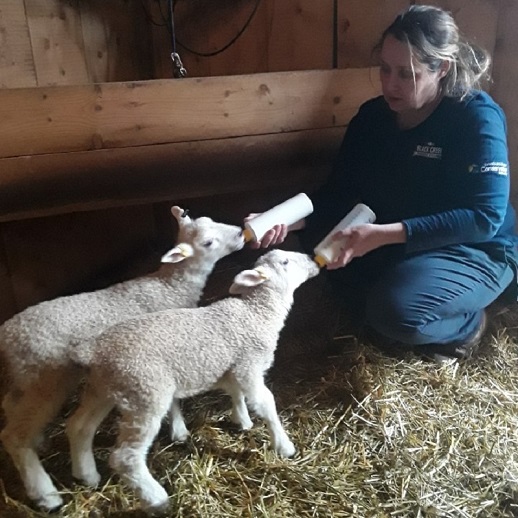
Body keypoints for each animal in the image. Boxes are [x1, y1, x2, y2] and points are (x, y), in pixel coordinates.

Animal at [0, 206, 247, 512]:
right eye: (208, 242)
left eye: (211, 220)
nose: (240, 234)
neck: (169, 287)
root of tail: (7, 333)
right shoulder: (165, 352)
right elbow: (174, 399)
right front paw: (179, 430)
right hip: (45, 380)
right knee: (14, 435)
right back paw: (46, 494)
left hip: (30, 379)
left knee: (12, 406)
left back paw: (54, 452)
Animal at [67, 251, 320, 516]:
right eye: (285, 262)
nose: (312, 259)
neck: (257, 313)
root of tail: (92, 351)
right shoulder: (248, 367)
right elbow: (266, 404)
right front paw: (283, 445)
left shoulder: (234, 367)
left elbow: (236, 393)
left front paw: (242, 420)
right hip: (144, 392)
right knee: (125, 457)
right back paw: (157, 499)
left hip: (104, 388)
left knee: (79, 427)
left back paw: (86, 475)